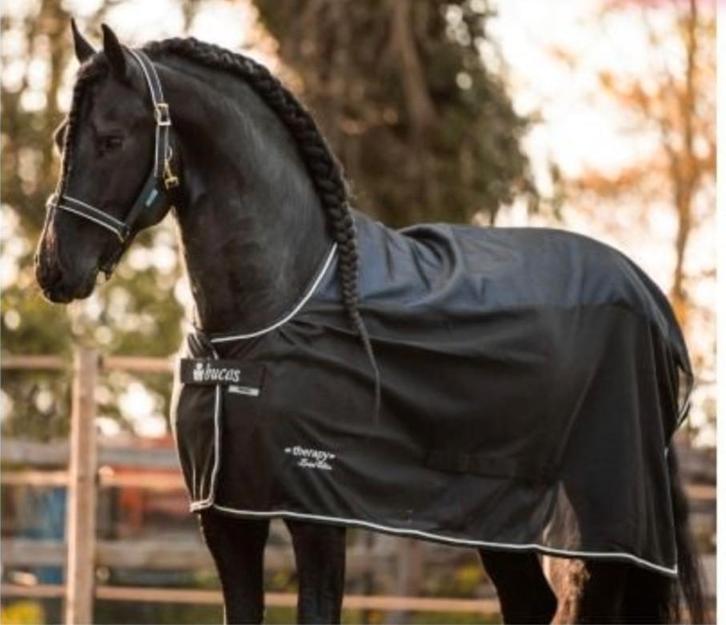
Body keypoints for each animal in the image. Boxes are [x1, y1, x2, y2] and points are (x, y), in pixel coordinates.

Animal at [34, 23, 705, 624]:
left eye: (112, 139)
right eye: (64, 135)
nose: (53, 269)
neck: (268, 317)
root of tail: (649, 299)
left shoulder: (319, 514)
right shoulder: (225, 516)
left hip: (606, 534)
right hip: (506, 521)